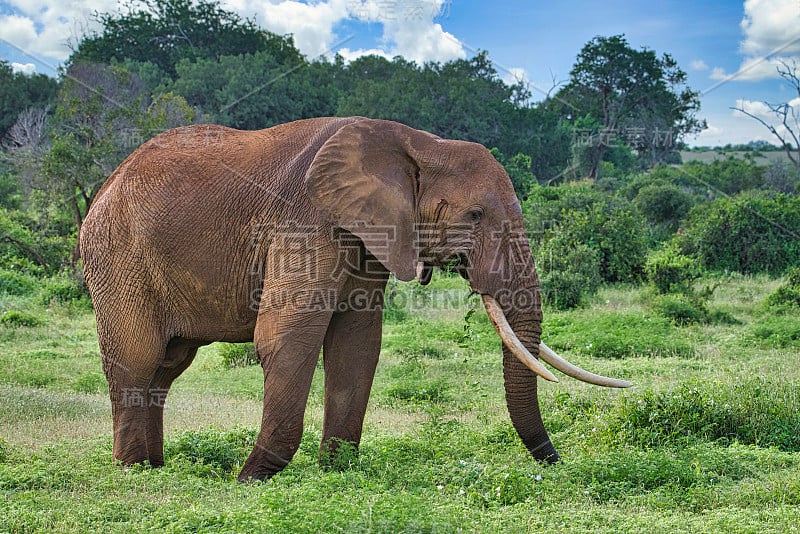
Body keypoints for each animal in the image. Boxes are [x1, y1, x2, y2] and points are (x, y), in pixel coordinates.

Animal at [81, 118, 632, 486]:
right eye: (475, 215)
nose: (557, 462)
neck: (415, 142)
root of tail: (106, 184)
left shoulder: (370, 235)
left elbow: (358, 342)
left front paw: (336, 468)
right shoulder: (305, 222)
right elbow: (286, 337)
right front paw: (251, 478)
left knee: (167, 366)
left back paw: (155, 467)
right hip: (117, 256)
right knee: (137, 359)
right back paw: (133, 473)